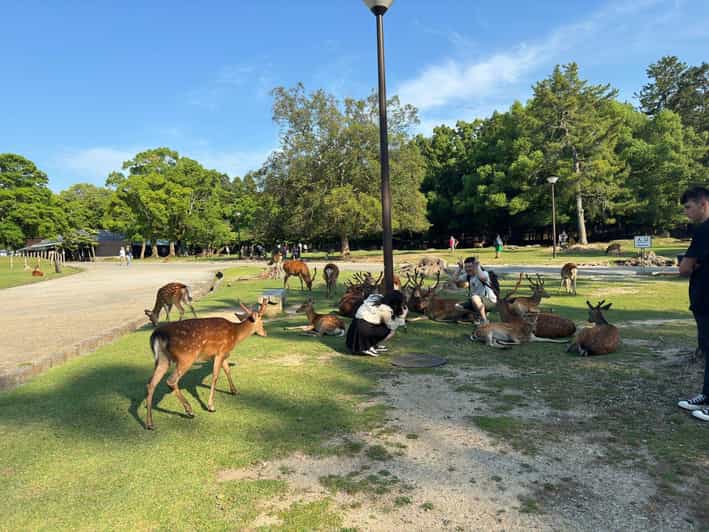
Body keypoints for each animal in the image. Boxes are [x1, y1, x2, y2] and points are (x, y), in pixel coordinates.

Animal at [145, 299, 267, 429]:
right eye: (262, 321)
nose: (265, 332)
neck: (236, 334)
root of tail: (157, 335)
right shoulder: (221, 351)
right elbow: (215, 376)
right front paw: (211, 406)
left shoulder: (221, 353)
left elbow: (227, 370)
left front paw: (234, 391)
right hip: (186, 357)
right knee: (171, 381)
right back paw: (189, 410)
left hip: (162, 359)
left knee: (151, 383)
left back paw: (150, 423)